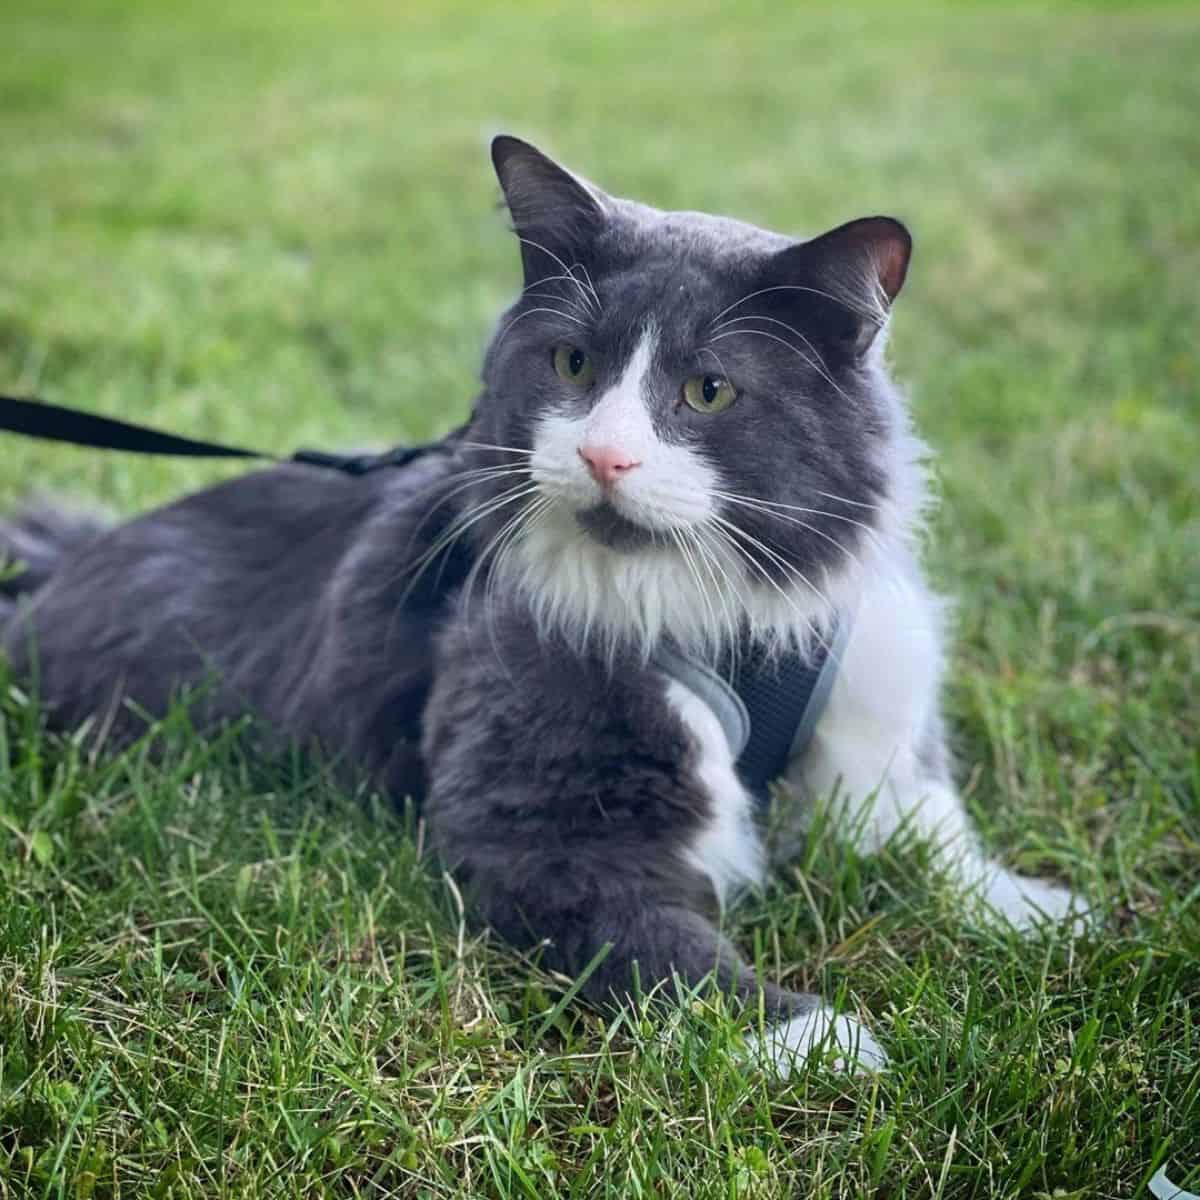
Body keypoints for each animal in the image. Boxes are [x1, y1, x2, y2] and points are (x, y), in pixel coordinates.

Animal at [2, 140, 1089, 1080]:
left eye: (709, 390)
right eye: (572, 367)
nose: (605, 457)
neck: (714, 612)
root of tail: (57, 563)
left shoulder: (873, 722)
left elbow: (936, 840)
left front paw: (1039, 912)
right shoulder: (546, 833)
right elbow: (665, 944)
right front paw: (811, 1039)